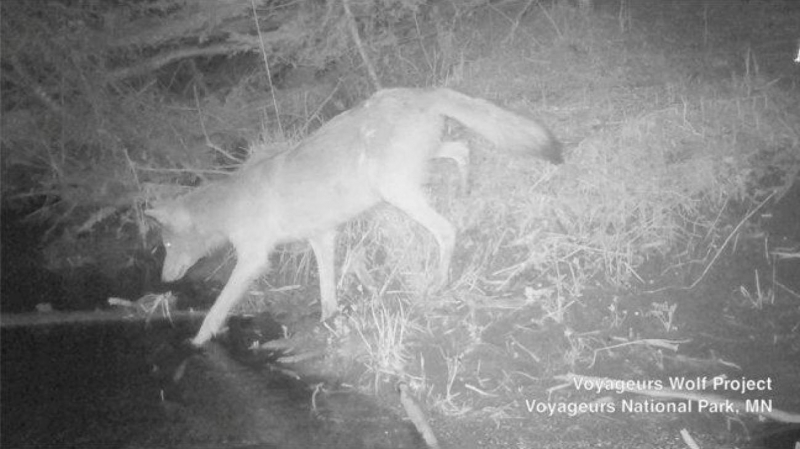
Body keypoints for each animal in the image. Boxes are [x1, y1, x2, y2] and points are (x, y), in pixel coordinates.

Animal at [148, 88, 564, 346]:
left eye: (166, 243)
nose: (164, 279)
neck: (231, 205)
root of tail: (421, 90)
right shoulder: (322, 236)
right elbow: (327, 290)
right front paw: (328, 317)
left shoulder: (253, 259)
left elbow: (218, 307)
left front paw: (198, 340)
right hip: (416, 169)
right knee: (461, 149)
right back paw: (464, 190)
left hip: (396, 191)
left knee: (447, 229)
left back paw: (436, 284)